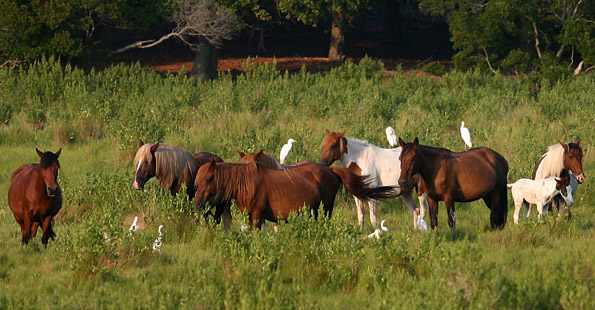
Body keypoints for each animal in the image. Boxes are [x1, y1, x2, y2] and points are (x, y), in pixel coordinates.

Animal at [196, 160, 400, 228]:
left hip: (326, 208)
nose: (197, 203)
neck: (247, 183)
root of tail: (330, 170)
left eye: (209, 179)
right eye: (197, 181)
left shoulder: (256, 216)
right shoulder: (252, 217)